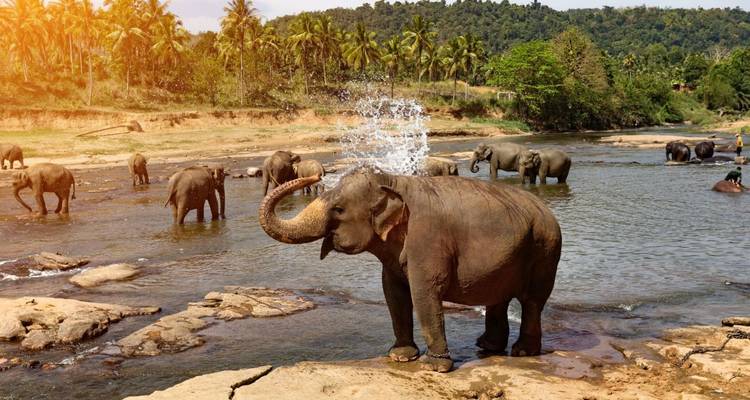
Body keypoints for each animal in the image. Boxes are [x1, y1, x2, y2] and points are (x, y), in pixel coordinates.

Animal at [258, 168, 561, 372]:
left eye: (339, 209)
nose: (314, 177)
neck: (392, 180)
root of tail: (546, 210)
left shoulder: (428, 238)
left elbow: (424, 292)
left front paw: (433, 367)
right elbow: (393, 293)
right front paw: (401, 357)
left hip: (545, 250)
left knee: (532, 301)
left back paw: (522, 352)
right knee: (498, 299)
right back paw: (487, 346)